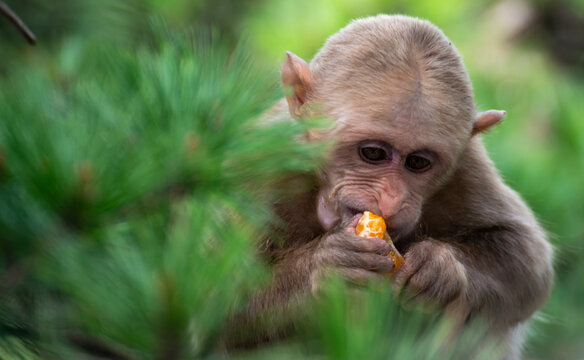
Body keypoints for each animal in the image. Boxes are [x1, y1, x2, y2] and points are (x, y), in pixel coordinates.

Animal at [222, 14, 552, 360]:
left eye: (418, 162)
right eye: (373, 153)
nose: (392, 201)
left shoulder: (468, 168)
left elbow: (529, 261)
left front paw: (442, 268)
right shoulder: (258, 169)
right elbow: (222, 306)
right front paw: (327, 265)